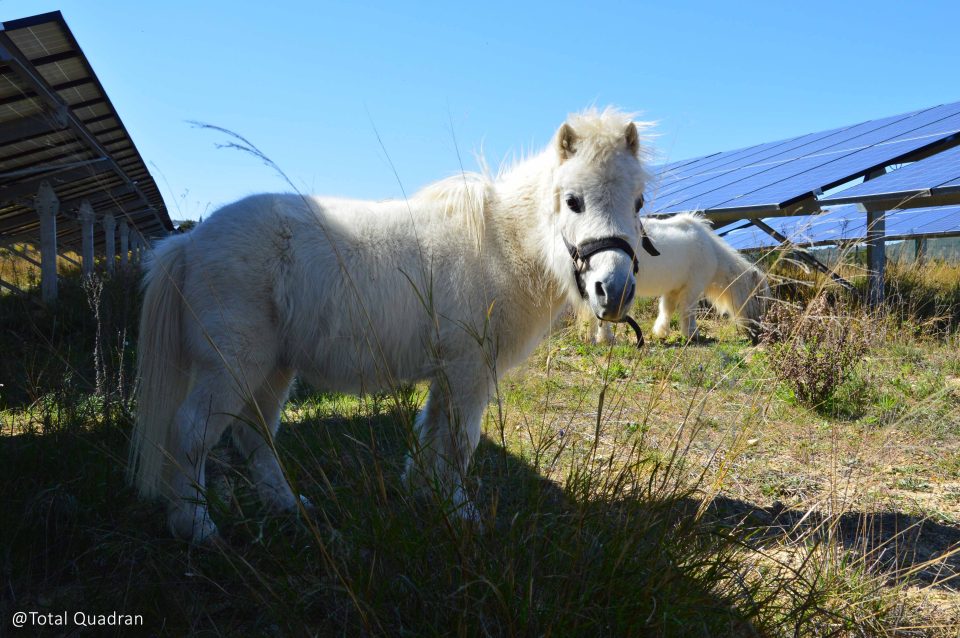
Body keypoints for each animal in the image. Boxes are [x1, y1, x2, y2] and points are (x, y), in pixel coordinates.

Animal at [129, 107, 652, 544]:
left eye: (639, 201)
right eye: (573, 201)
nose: (614, 291)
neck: (502, 246)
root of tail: (190, 243)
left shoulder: (452, 373)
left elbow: (434, 434)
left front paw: (427, 493)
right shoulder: (469, 372)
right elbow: (459, 442)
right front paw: (459, 510)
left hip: (273, 368)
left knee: (255, 434)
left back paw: (288, 506)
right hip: (233, 363)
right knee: (192, 430)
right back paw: (197, 526)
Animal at [588, 215, 768, 344]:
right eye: (758, 298)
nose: (762, 332)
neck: (712, 251)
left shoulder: (674, 289)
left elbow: (667, 309)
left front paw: (661, 332)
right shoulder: (693, 287)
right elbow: (688, 311)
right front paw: (692, 334)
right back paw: (606, 338)